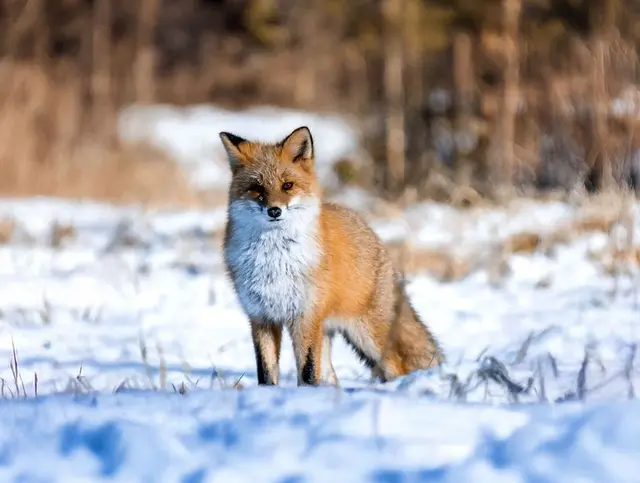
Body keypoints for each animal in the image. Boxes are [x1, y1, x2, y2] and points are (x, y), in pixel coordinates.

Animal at [220, 125, 444, 386]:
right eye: (257, 188)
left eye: (287, 185)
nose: (274, 211)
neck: (274, 260)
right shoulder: (261, 317)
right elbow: (266, 372)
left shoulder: (305, 315)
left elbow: (307, 371)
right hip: (328, 334)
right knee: (332, 376)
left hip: (366, 334)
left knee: (396, 365)